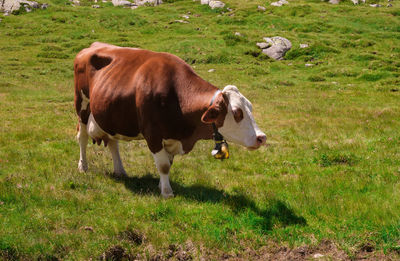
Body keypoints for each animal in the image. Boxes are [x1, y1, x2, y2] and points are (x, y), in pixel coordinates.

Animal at [73, 42, 268, 197]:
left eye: (250, 107)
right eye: (236, 112)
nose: (262, 137)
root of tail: (92, 46)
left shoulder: (172, 137)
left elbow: (169, 163)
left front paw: (161, 185)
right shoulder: (153, 134)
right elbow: (163, 165)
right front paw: (167, 193)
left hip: (109, 115)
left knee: (113, 143)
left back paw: (120, 171)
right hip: (82, 106)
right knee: (82, 138)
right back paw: (83, 167)